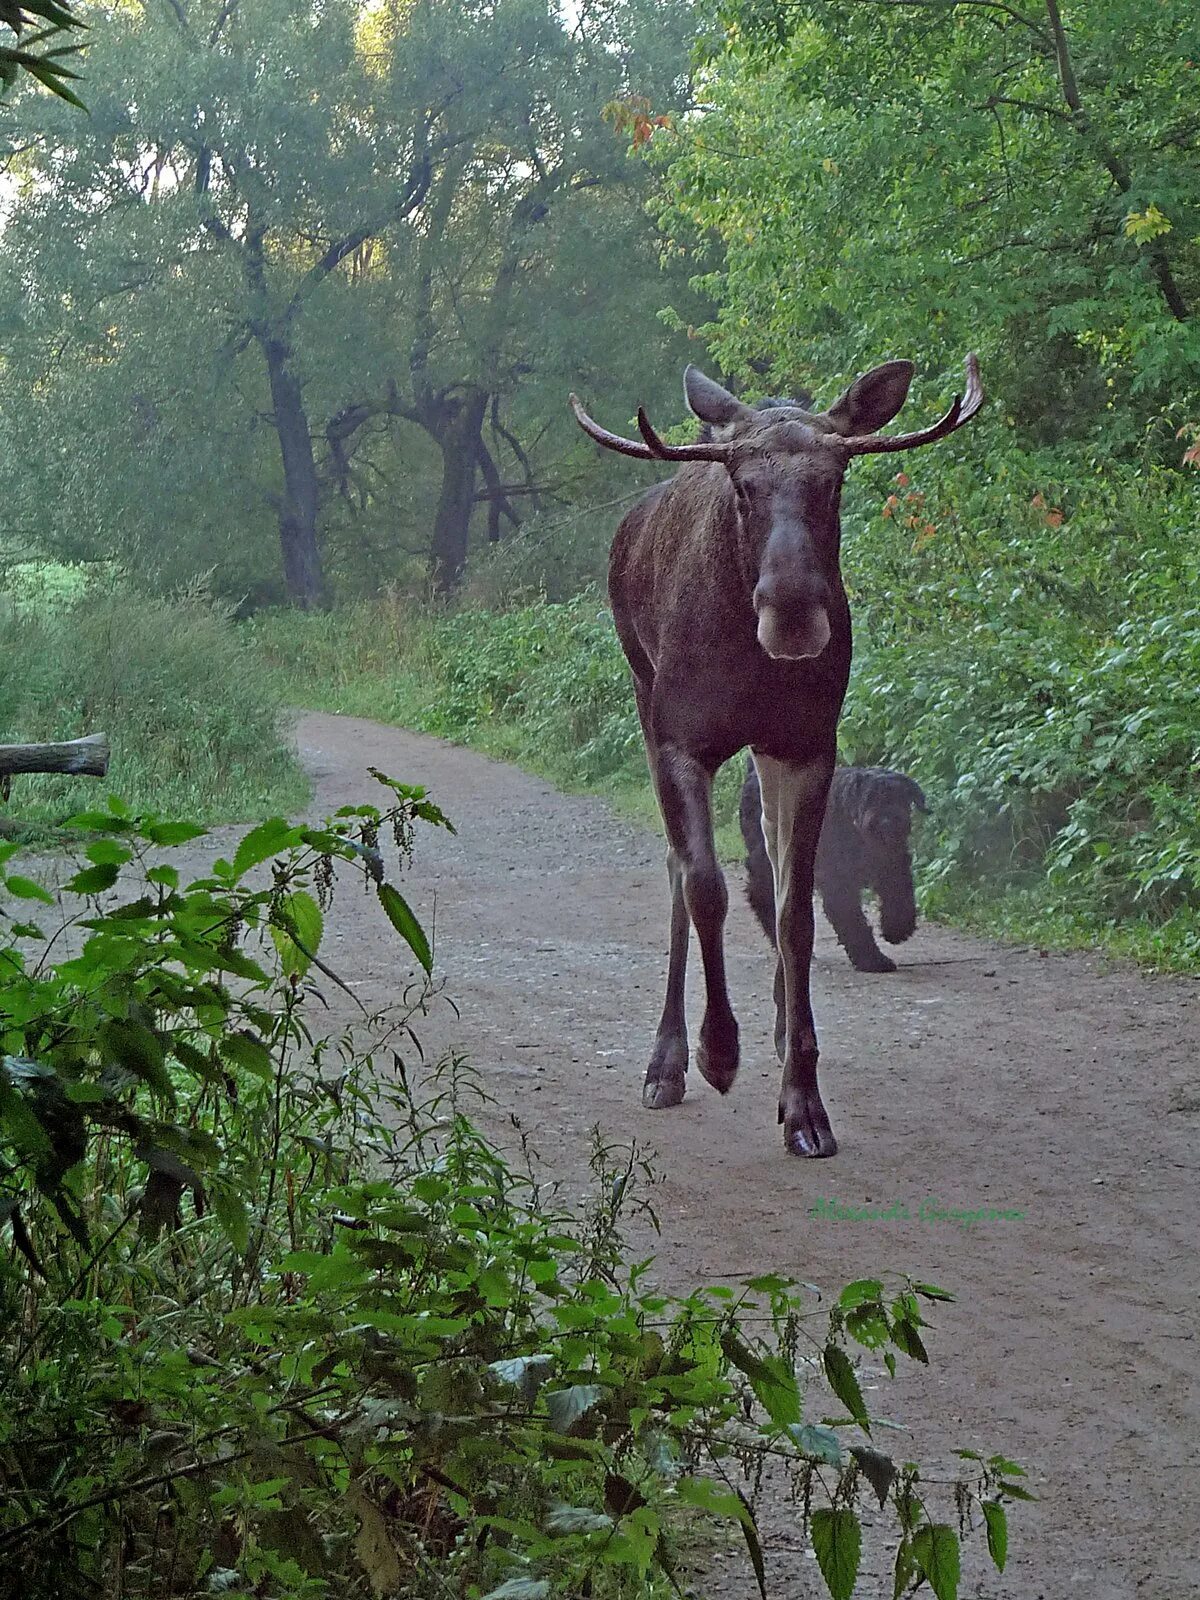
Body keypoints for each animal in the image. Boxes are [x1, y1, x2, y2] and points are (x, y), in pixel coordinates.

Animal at [742, 761, 928, 972]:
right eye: (869, 797)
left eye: (899, 797)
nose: (887, 821)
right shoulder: (839, 884)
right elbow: (853, 922)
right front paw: (873, 960)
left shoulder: (893, 866)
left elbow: (900, 897)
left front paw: (897, 929)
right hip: (767, 861)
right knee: (761, 896)